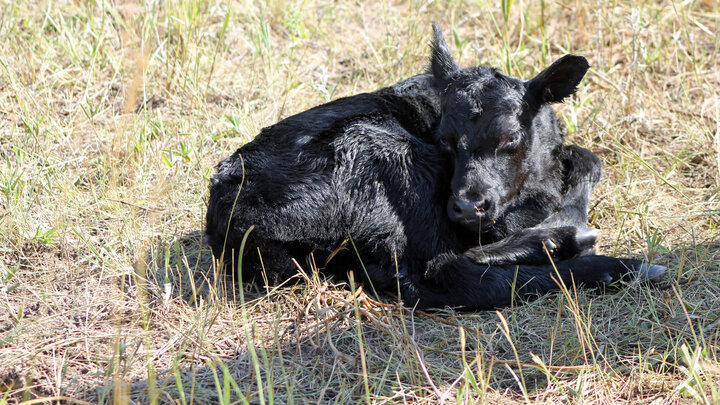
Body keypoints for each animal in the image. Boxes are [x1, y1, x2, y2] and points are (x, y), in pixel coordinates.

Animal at [205, 23, 665, 310]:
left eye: (511, 138)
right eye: (444, 139)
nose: (467, 206)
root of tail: (231, 218)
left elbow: (589, 158)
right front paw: (565, 231)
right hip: (387, 156)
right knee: (451, 272)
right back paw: (600, 258)